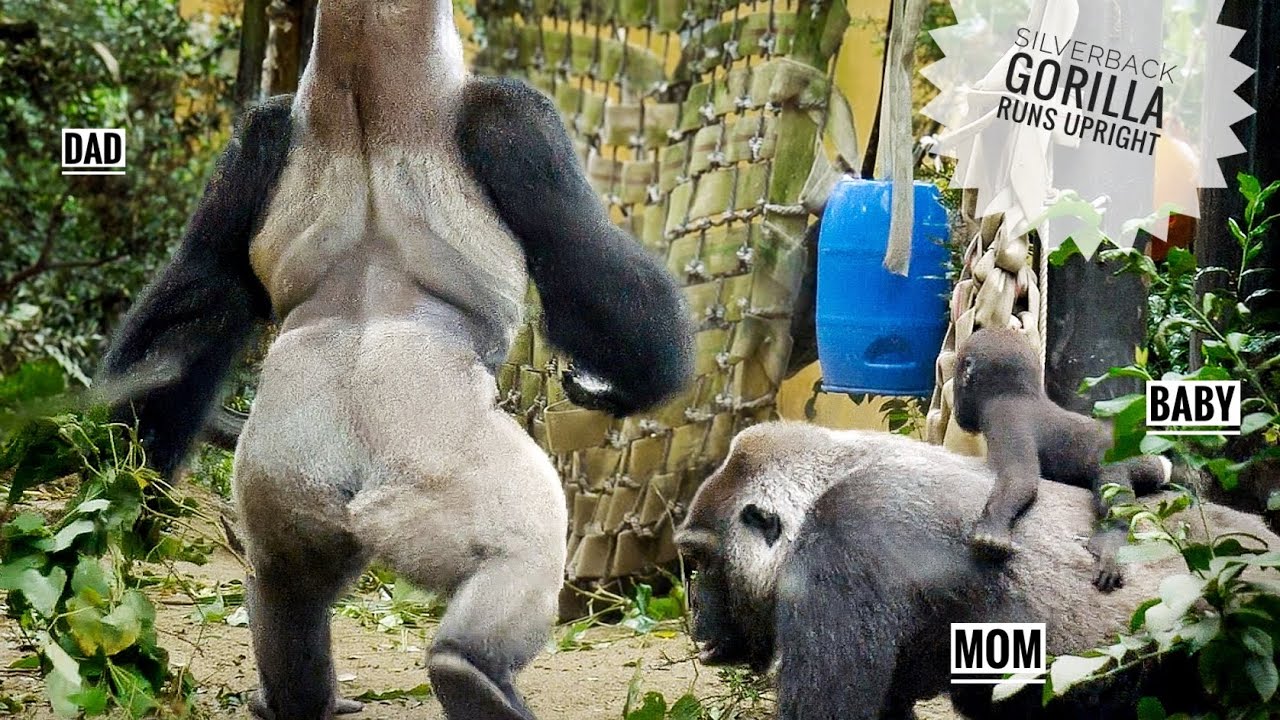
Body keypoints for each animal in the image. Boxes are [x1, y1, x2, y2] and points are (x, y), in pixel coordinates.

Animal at [95, 1, 694, 718]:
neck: (364, 71)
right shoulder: (516, 119)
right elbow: (602, 288)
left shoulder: (257, 139)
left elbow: (192, 306)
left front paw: (120, 481)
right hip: (434, 488)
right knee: (520, 550)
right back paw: (469, 668)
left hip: (281, 479)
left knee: (286, 584)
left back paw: (300, 695)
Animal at [954, 327, 1171, 590]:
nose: (956, 409)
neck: (1021, 393)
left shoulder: (1005, 417)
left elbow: (1020, 477)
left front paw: (992, 529)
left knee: (1111, 488)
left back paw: (1110, 543)